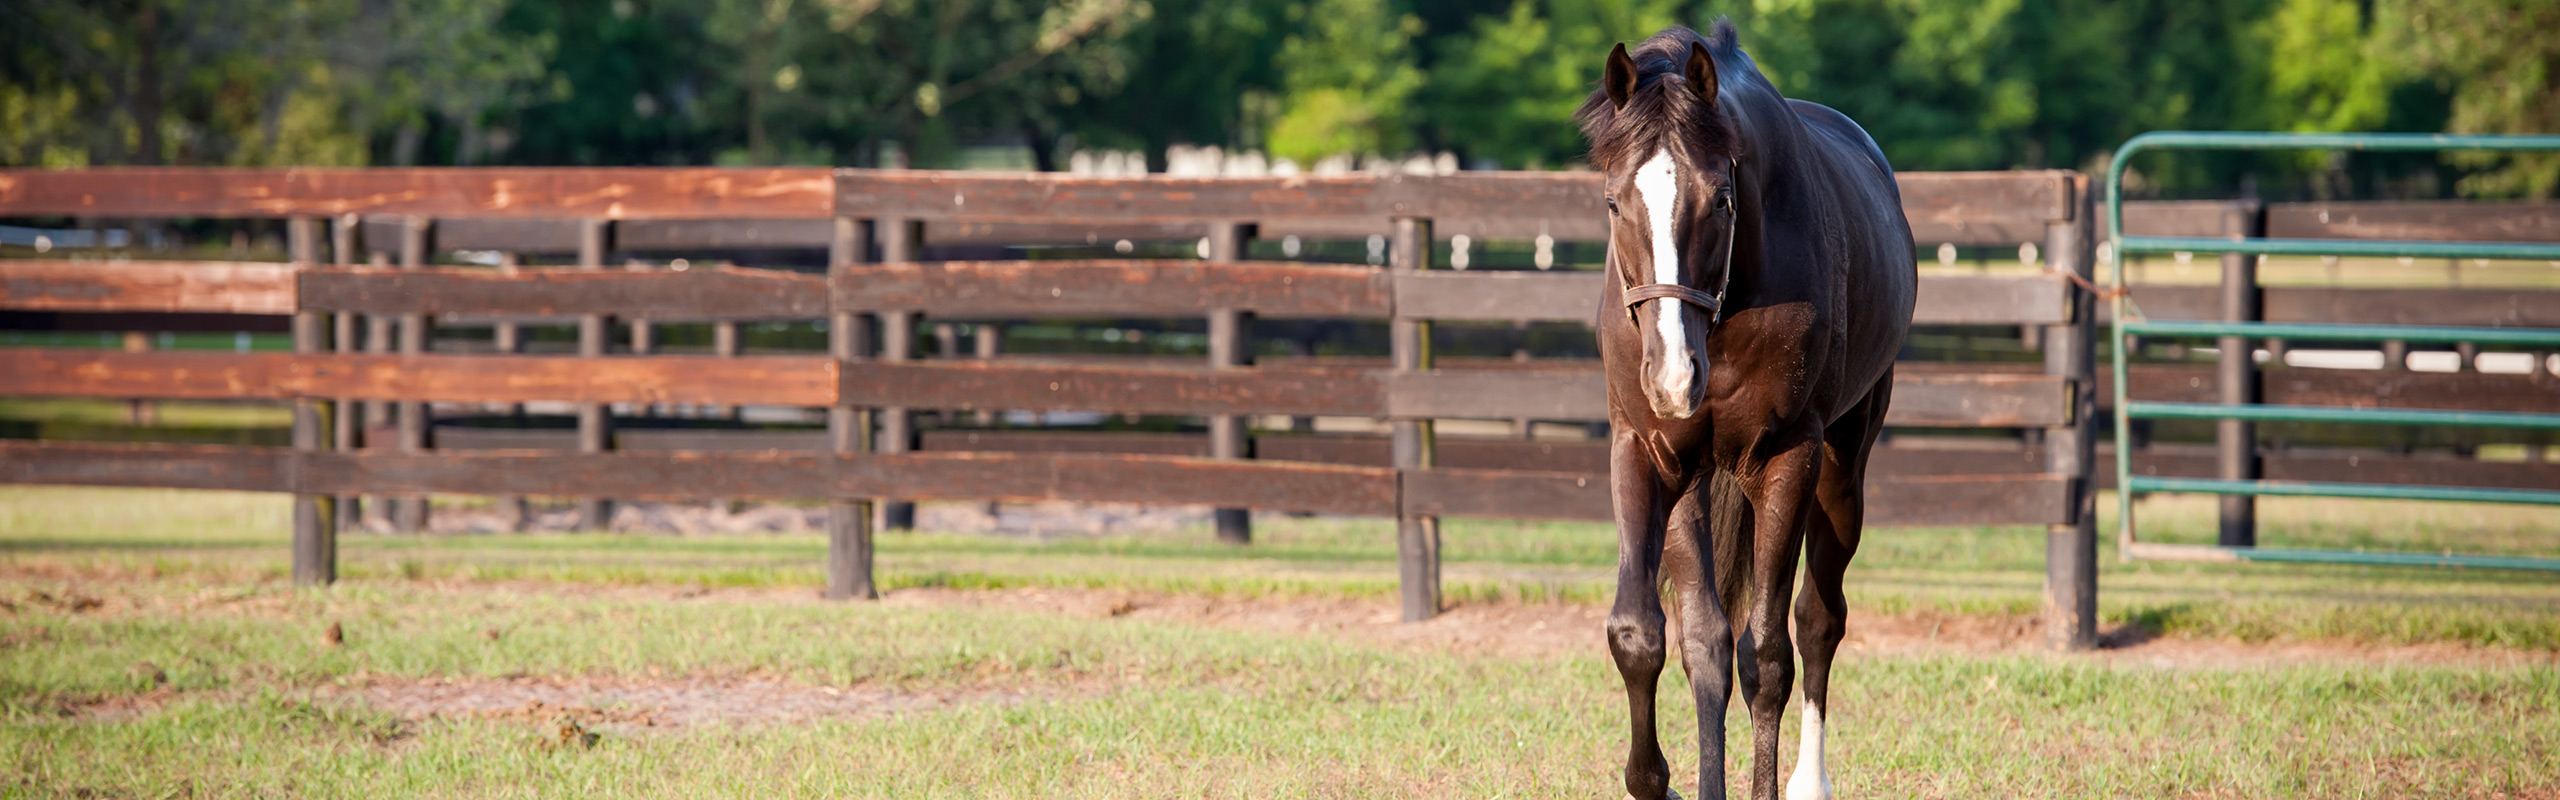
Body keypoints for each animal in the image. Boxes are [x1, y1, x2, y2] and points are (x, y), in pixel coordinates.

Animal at [1566, 18, 1914, 800]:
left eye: (1721, 201)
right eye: (1613, 203)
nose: (1672, 375)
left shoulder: (1787, 457)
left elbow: (1768, 657)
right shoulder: (1650, 454)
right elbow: (1655, 637)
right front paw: (1658, 780)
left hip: (1842, 467)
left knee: (1818, 619)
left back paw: (1810, 781)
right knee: (1713, 639)